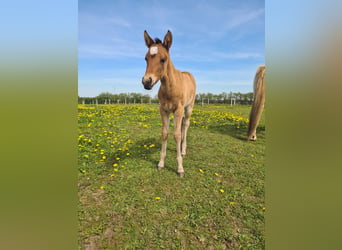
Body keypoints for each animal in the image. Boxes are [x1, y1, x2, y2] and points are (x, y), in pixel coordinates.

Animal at [141, 30, 195, 177]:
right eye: (146, 58)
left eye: (163, 59)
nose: (146, 82)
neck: (170, 87)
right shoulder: (164, 110)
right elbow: (165, 133)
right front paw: (161, 163)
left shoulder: (179, 110)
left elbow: (176, 135)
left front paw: (180, 168)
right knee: (181, 126)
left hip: (188, 108)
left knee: (185, 126)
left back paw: (183, 150)